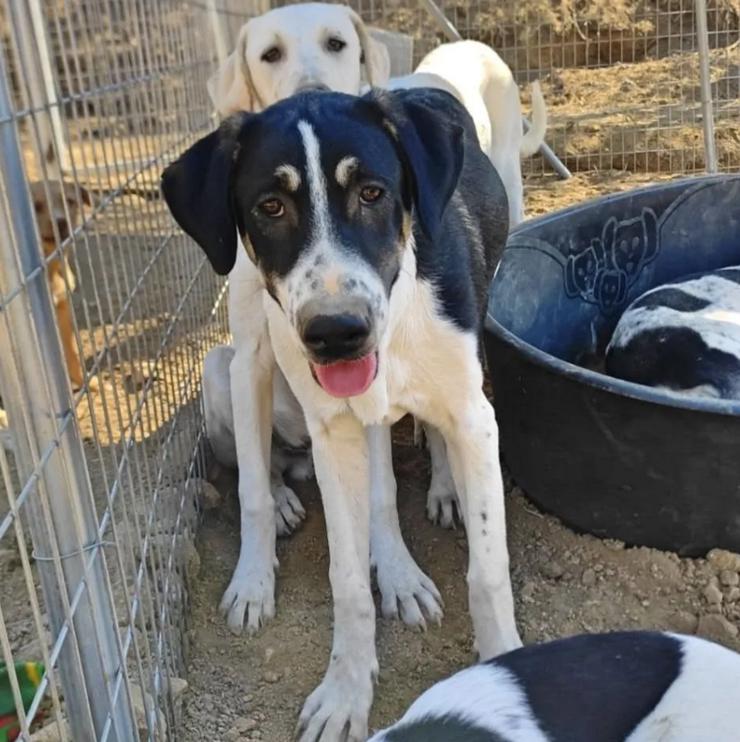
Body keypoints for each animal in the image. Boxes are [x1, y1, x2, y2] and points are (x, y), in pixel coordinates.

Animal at [162, 87, 521, 740]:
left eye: (372, 193)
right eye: (270, 206)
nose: (335, 334)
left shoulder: (474, 416)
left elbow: (487, 571)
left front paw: (503, 663)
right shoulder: (334, 429)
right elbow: (347, 580)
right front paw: (346, 691)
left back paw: (438, 497)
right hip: (226, 372)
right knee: (267, 471)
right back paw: (292, 509)